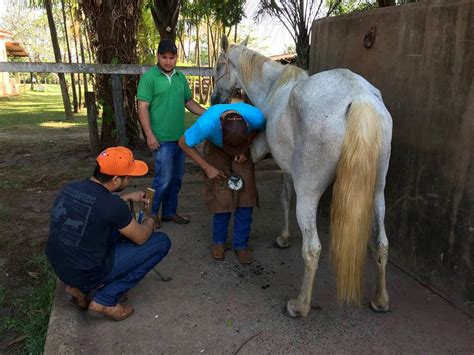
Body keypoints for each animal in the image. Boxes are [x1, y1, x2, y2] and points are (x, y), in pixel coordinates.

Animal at [211, 37, 392, 318]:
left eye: (219, 66)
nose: (214, 99)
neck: (273, 88)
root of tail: (359, 97)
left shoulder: (278, 163)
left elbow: (285, 198)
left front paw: (283, 238)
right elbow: (286, 197)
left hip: (309, 193)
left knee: (312, 249)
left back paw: (299, 305)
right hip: (377, 193)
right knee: (381, 243)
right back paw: (380, 300)